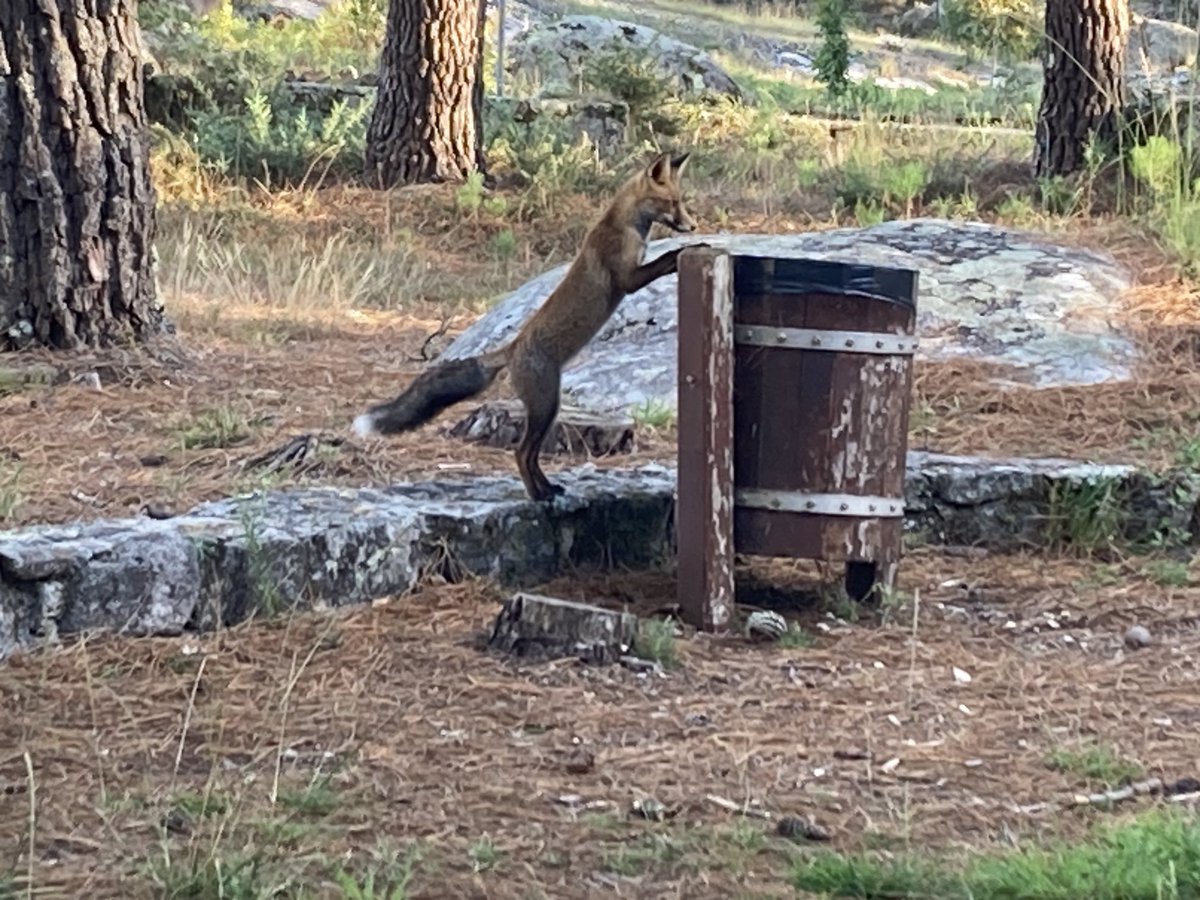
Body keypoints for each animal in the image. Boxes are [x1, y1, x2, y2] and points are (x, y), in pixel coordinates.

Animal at [352, 150, 706, 502]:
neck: (626, 225)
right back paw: (538, 495)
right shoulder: (627, 278)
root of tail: (511, 350)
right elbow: (662, 262)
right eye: (673, 202)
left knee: (530, 456)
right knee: (521, 454)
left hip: (547, 411)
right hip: (547, 406)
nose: (693, 224)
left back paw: (547, 489)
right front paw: (687, 249)